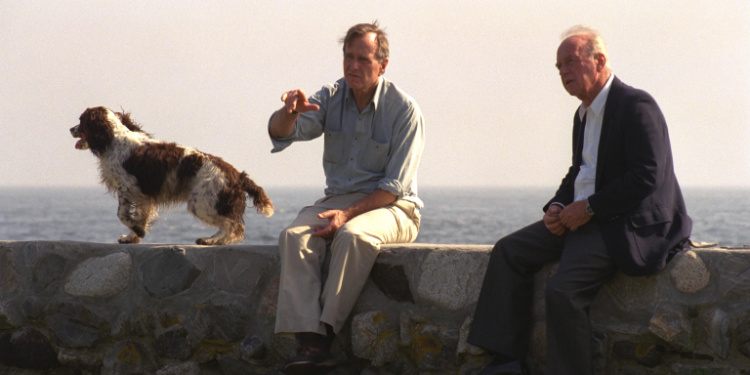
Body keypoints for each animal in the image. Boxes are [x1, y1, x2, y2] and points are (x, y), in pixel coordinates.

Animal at [70, 106, 274, 247]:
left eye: (82, 120)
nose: (71, 129)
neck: (113, 139)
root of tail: (238, 175)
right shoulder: (144, 196)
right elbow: (141, 216)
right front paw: (132, 236)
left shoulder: (127, 186)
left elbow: (122, 214)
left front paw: (137, 231)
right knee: (232, 226)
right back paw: (213, 240)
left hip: (203, 203)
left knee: (234, 226)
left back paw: (211, 241)